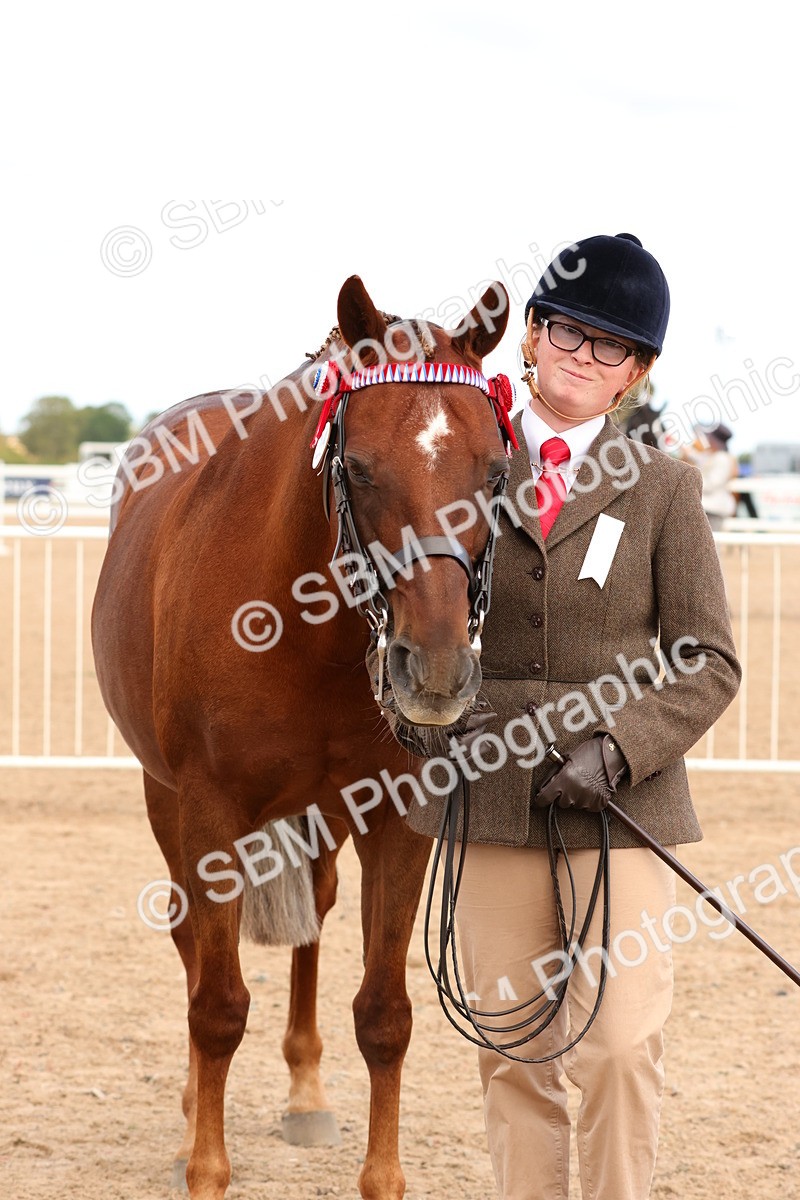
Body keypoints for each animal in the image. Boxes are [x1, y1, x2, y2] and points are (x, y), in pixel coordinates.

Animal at [91, 275, 513, 1200]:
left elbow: (385, 1016)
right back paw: (191, 1115)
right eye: (357, 468)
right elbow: (217, 1009)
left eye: (497, 471)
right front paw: (205, 1168)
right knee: (188, 936)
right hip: (165, 800)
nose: (435, 672)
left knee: (314, 919)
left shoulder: (397, 818)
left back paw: (307, 1093)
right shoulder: (209, 812)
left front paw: (381, 1177)